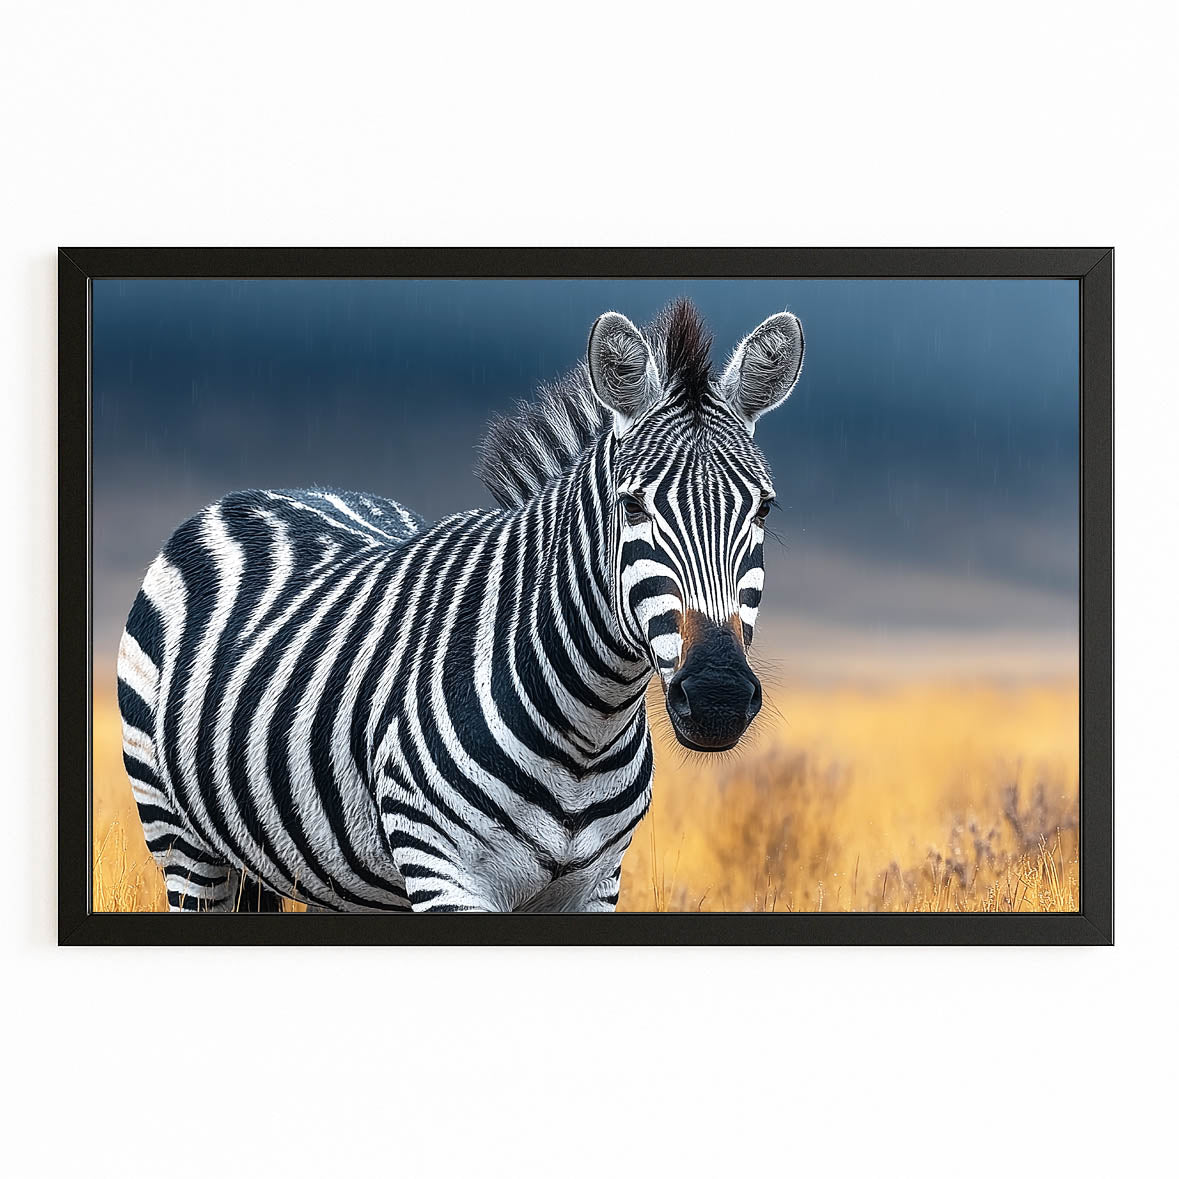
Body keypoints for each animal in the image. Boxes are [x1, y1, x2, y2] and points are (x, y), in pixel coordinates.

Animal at [117, 299, 804, 913]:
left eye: (764, 509)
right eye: (633, 506)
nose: (716, 697)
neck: (586, 730)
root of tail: (271, 491)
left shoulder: (595, 884)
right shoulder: (445, 870)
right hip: (182, 842)